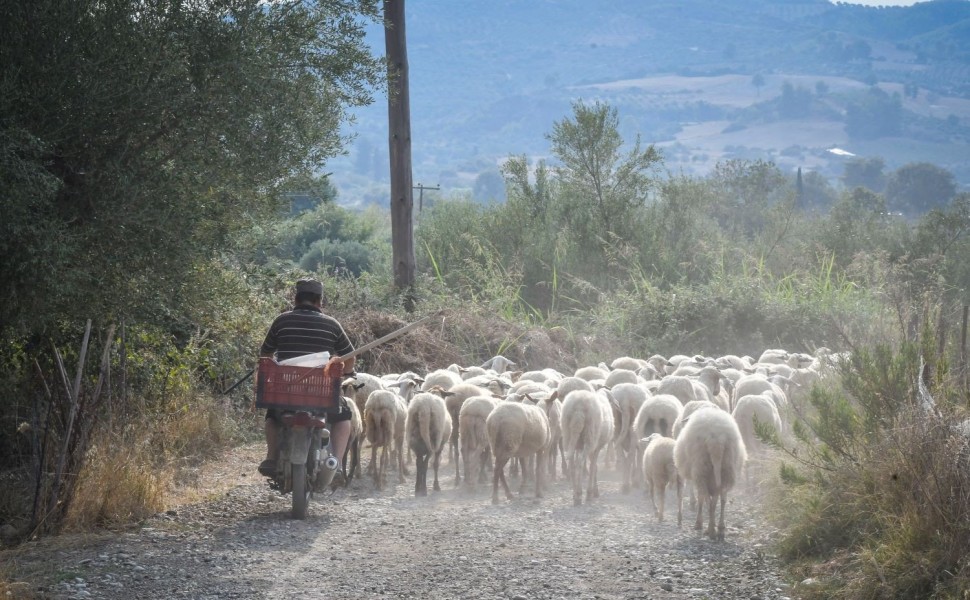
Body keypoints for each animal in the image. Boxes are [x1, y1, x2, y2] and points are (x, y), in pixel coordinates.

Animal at [672, 408, 748, 540]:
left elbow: (701, 498)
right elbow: (715, 499)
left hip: (702, 469)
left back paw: (711, 529)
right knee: (721, 498)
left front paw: (699, 523)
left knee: (707, 497)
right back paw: (720, 528)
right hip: (726, 468)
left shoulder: (698, 476)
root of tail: (716, 439)